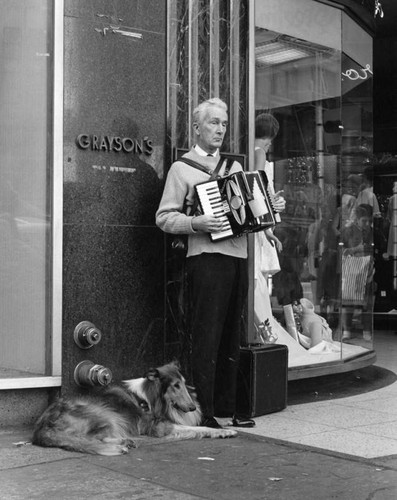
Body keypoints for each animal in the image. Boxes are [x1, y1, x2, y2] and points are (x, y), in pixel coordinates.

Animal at [32, 362, 235, 456]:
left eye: (184, 384)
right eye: (175, 386)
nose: (192, 407)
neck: (150, 397)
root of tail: (42, 428)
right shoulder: (159, 427)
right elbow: (198, 428)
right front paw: (225, 431)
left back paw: (125, 441)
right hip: (104, 414)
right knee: (90, 438)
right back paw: (121, 444)